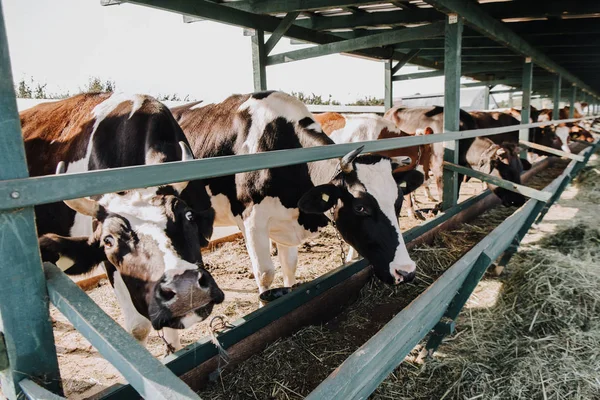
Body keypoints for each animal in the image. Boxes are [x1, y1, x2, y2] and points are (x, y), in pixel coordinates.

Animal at [169, 91, 424, 290]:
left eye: (398, 202)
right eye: (361, 207)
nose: (406, 271)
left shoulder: (284, 222)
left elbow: (289, 268)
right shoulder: (252, 223)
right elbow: (265, 274)